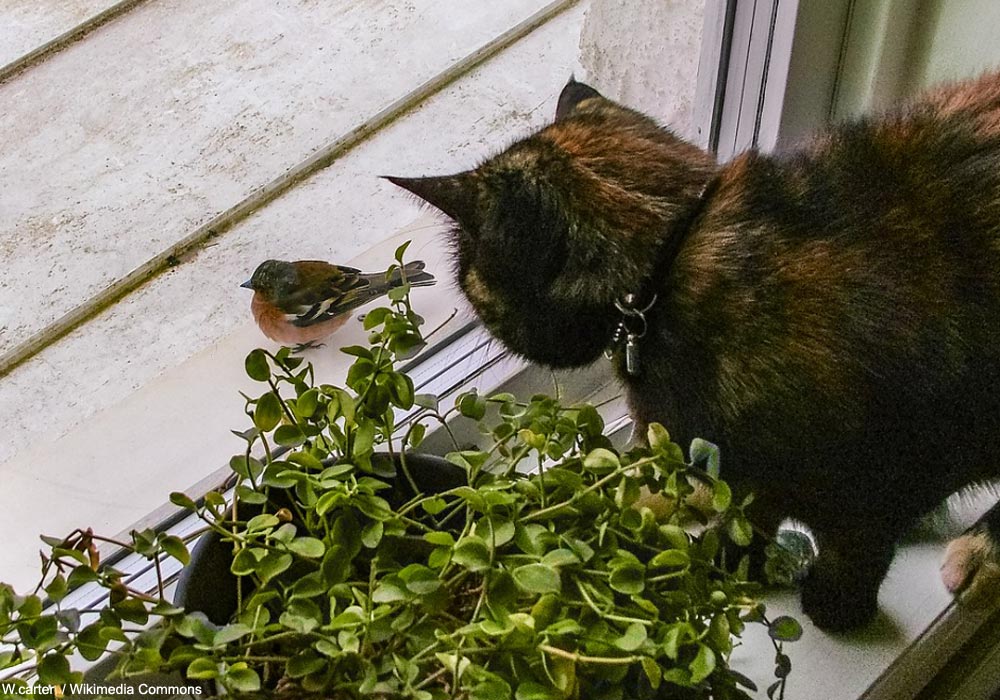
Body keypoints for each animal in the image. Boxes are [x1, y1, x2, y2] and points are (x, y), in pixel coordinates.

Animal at [388, 74, 1000, 632]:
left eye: (468, 283)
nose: (471, 308)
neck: (667, 265)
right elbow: (745, 507)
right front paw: (732, 560)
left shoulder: (905, 455)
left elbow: (856, 538)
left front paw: (834, 604)